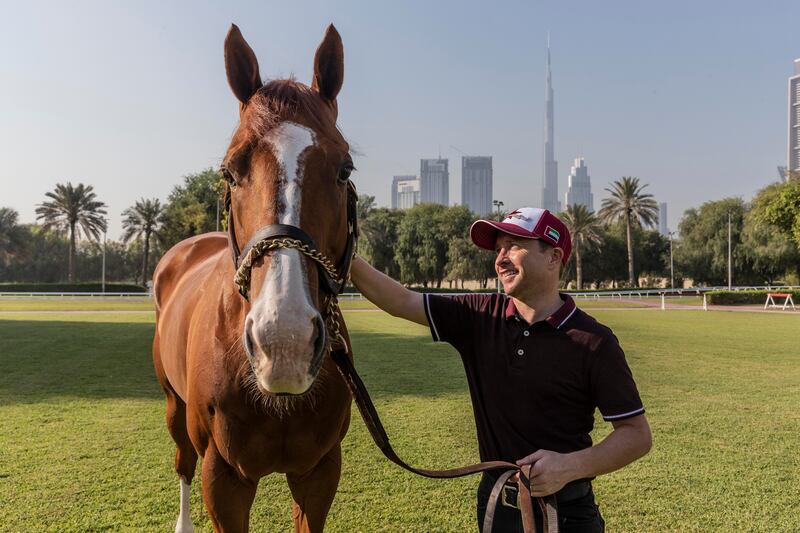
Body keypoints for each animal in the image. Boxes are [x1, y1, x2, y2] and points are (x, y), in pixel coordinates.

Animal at [153, 25, 356, 532]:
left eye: (344, 169)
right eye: (230, 169)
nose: (284, 341)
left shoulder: (319, 472)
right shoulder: (223, 478)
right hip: (173, 406)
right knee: (182, 463)